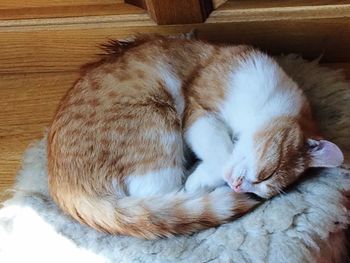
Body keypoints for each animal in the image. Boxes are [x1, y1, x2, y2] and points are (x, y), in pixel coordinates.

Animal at [47, 35, 344, 241]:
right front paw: (203, 179)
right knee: (158, 194)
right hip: (158, 119)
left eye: (259, 188)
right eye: (265, 176)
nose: (238, 188)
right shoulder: (199, 110)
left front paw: (203, 178)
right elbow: (220, 152)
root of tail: (65, 186)